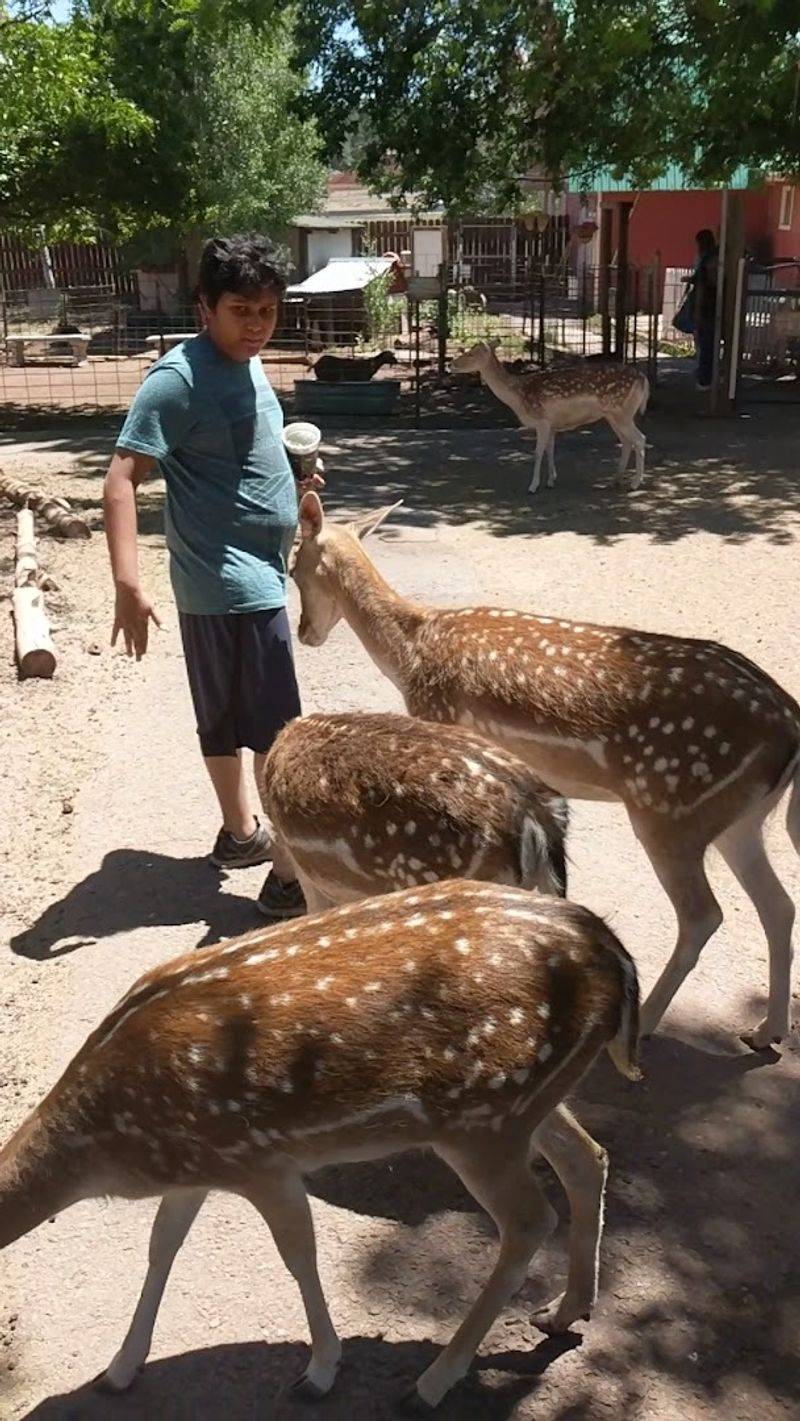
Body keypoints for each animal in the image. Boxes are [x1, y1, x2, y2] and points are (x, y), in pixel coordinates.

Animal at [0, 882, 639, 1410]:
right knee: (588, 1158)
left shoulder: (259, 1160)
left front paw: (321, 1371)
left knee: (531, 1220)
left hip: (483, 1121)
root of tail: (613, 951)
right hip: (528, 1103)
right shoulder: (200, 1166)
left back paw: (431, 1384)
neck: (109, 1147)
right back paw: (565, 1310)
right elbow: (162, 1247)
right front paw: (119, 1369)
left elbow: (298, 1255)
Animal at [450, 340, 649, 494]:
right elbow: (550, 450)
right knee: (626, 441)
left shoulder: (542, 420)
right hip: (614, 415)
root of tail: (643, 379)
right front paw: (551, 481)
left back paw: (634, 483)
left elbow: (538, 452)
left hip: (621, 412)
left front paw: (533, 486)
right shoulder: (552, 424)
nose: (451, 364)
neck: (518, 396)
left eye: (471, 354)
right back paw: (615, 479)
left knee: (640, 439)